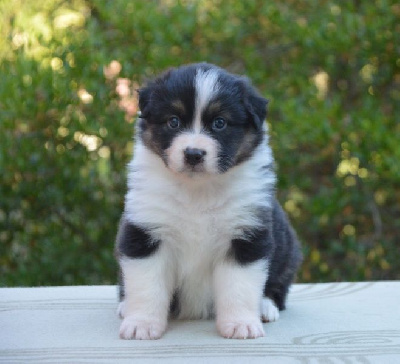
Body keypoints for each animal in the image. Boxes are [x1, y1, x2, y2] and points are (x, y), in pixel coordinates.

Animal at [114, 61, 302, 338]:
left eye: (220, 123)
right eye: (173, 121)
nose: (193, 154)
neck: (198, 190)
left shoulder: (245, 235)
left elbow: (239, 286)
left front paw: (240, 324)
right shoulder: (146, 232)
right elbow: (147, 285)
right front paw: (142, 324)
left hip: (288, 247)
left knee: (278, 284)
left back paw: (265, 307)